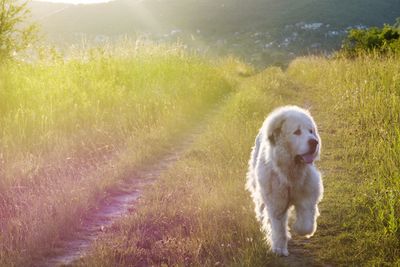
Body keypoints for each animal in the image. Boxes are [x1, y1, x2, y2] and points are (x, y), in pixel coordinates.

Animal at [245, 106, 324, 258]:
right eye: (297, 132)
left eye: (311, 131)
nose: (314, 142)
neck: (290, 172)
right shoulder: (276, 204)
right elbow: (279, 228)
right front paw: (280, 249)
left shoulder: (308, 195)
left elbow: (306, 223)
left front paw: (299, 228)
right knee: (262, 210)